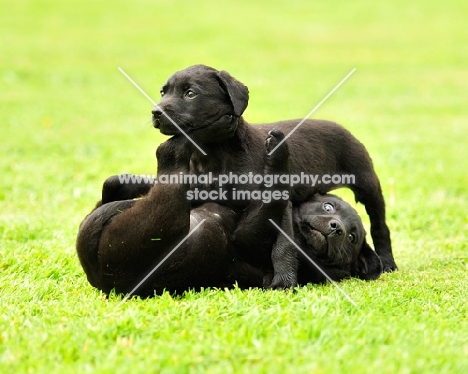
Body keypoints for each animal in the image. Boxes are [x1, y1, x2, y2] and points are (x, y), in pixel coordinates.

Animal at [151, 65, 398, 274]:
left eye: (190, 93)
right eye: (163, 92)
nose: (155, 112)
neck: (212, 155)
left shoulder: (277, 202)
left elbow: (281, 245)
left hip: (367, 182)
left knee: (380, 225)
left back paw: (388, 263)